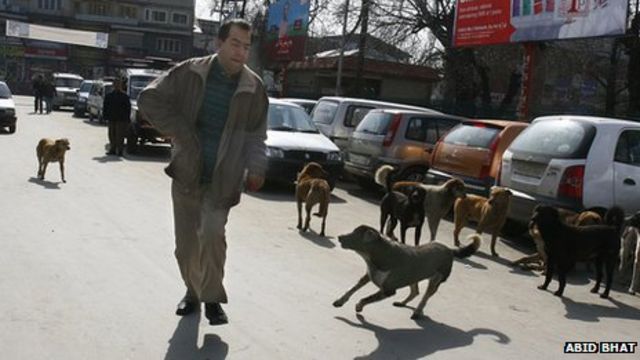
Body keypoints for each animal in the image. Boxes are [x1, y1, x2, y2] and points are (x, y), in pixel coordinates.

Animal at [336, 226, 480, 320]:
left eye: (354, 235)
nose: (339, 237)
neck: (379, 254)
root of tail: (450, 250)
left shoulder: (388, 290)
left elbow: (366, 298)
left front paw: (359, 306)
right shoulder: (368, 276)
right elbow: (352, 289)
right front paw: (340, 301)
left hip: (436, 280)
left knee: (425, 297)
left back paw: (417, 312)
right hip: (412, 276)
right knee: (415, 292)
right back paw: (402, 303)